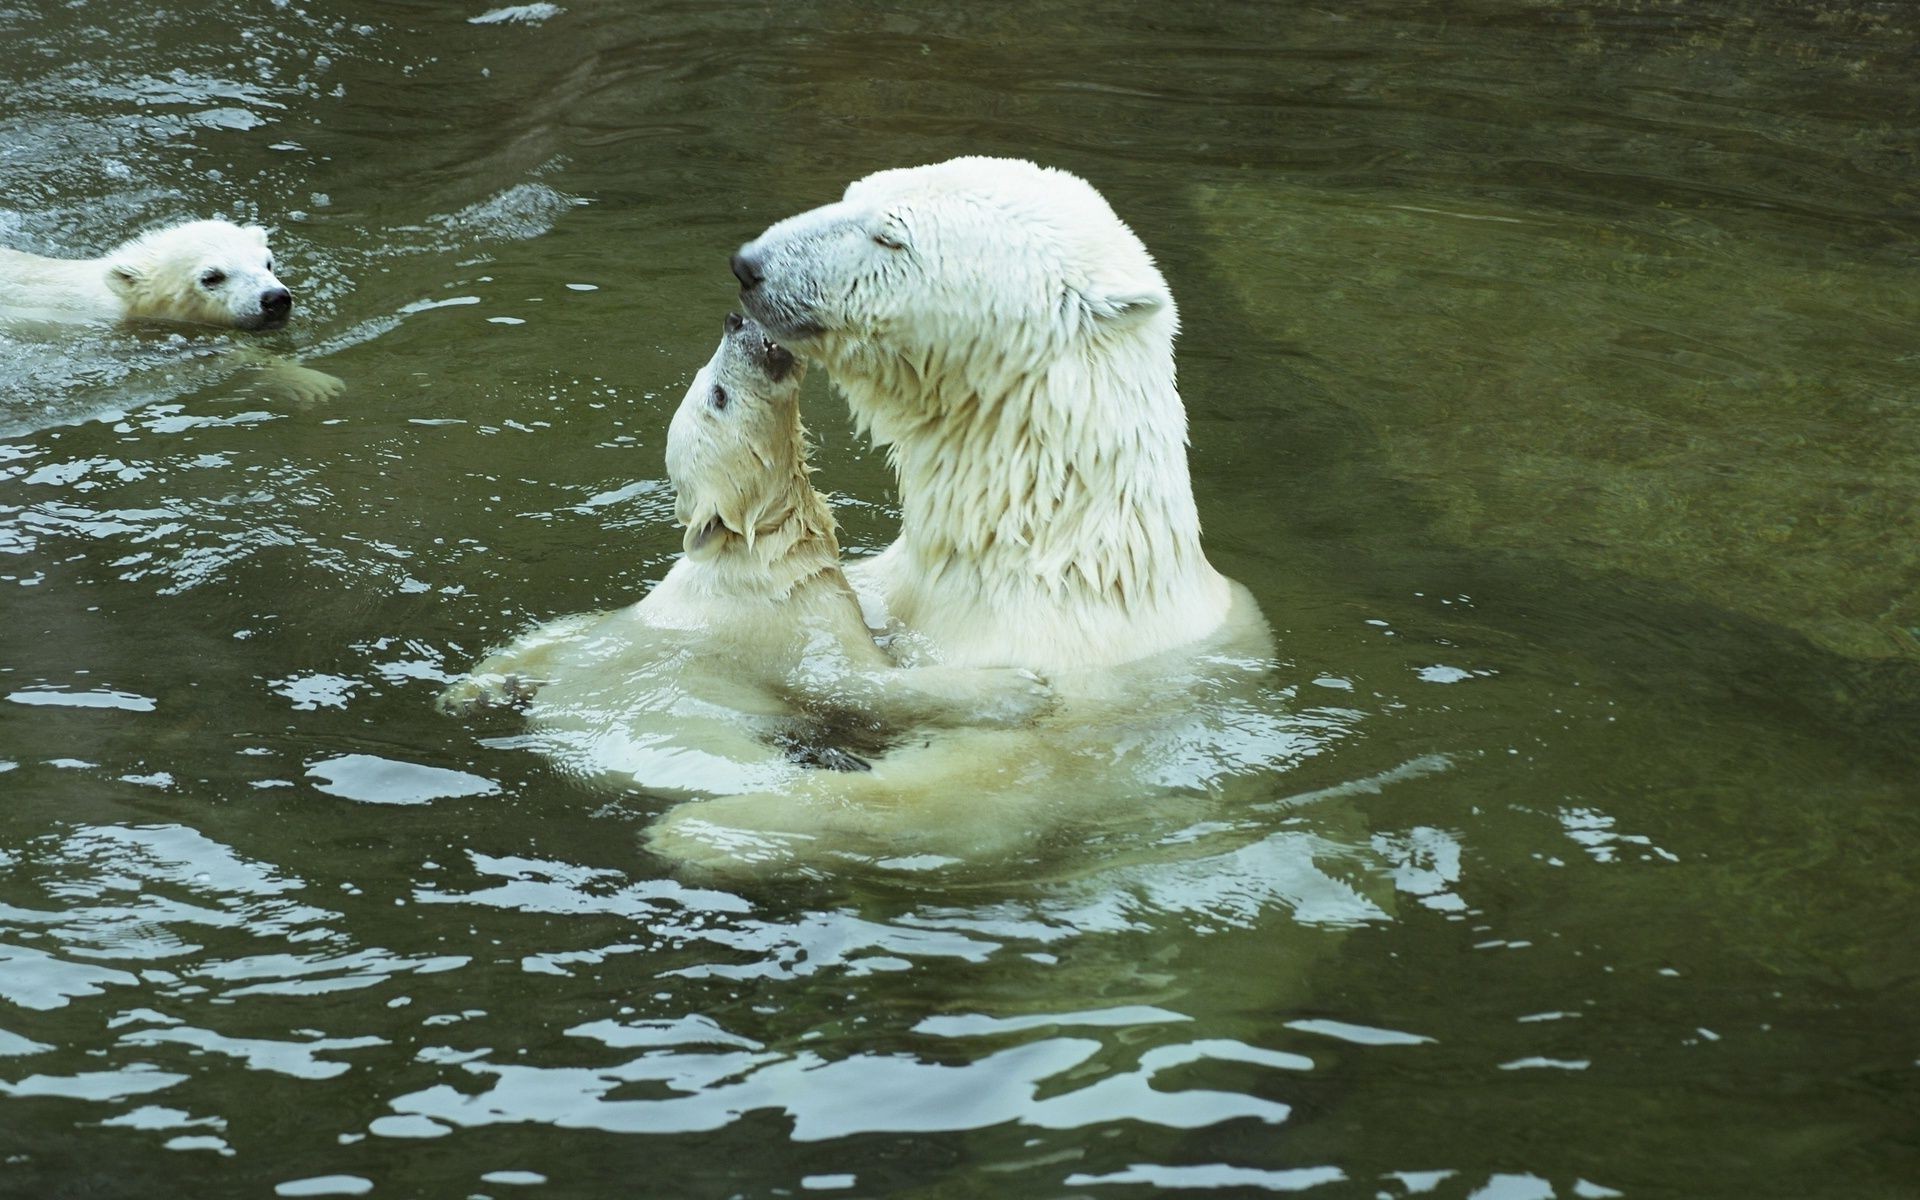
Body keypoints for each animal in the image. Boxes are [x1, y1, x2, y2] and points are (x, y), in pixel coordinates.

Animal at [435, 309, 1052, 798]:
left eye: (704, 379)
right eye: (718, 395)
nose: (736, 322)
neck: (760, 551)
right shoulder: (786, 622)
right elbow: (856, 682)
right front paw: (1020, 687)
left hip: (575, 646)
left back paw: (467, 693)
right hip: (675, 734)